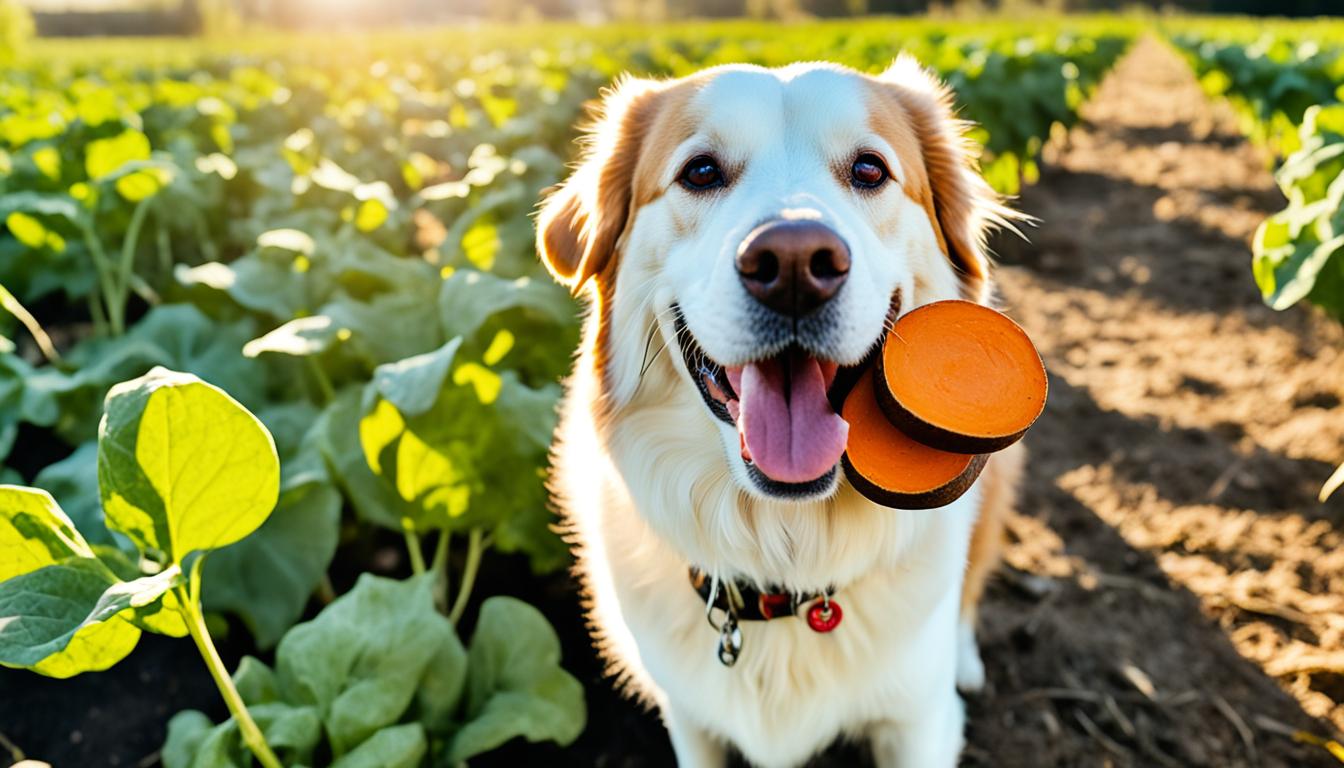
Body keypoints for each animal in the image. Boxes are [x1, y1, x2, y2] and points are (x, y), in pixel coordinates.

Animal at [534, 55, 1026, 768]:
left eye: (870, 170)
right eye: (700, 172)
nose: (795, 262)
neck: (783, 558)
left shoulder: (916, 725)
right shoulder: (692, 723)